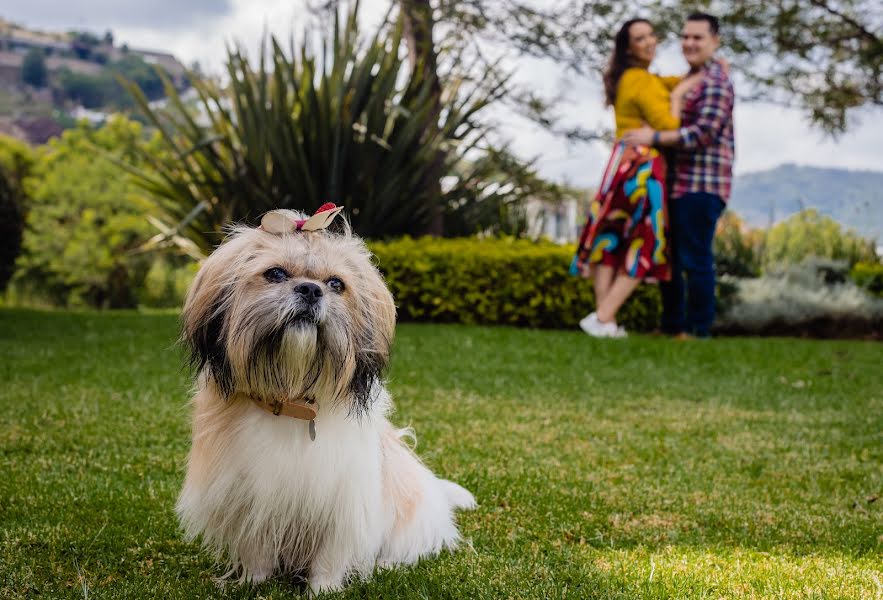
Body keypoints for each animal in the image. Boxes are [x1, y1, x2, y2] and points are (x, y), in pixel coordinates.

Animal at [174, 205, 476, 592]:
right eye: (275, 274)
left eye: (335, 284)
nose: (310, 289)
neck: (291, 402)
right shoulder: (249, 497)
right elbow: (256, 547)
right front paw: (254, 582)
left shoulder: (343, 502)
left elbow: (329, 556)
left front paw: (323, 589)